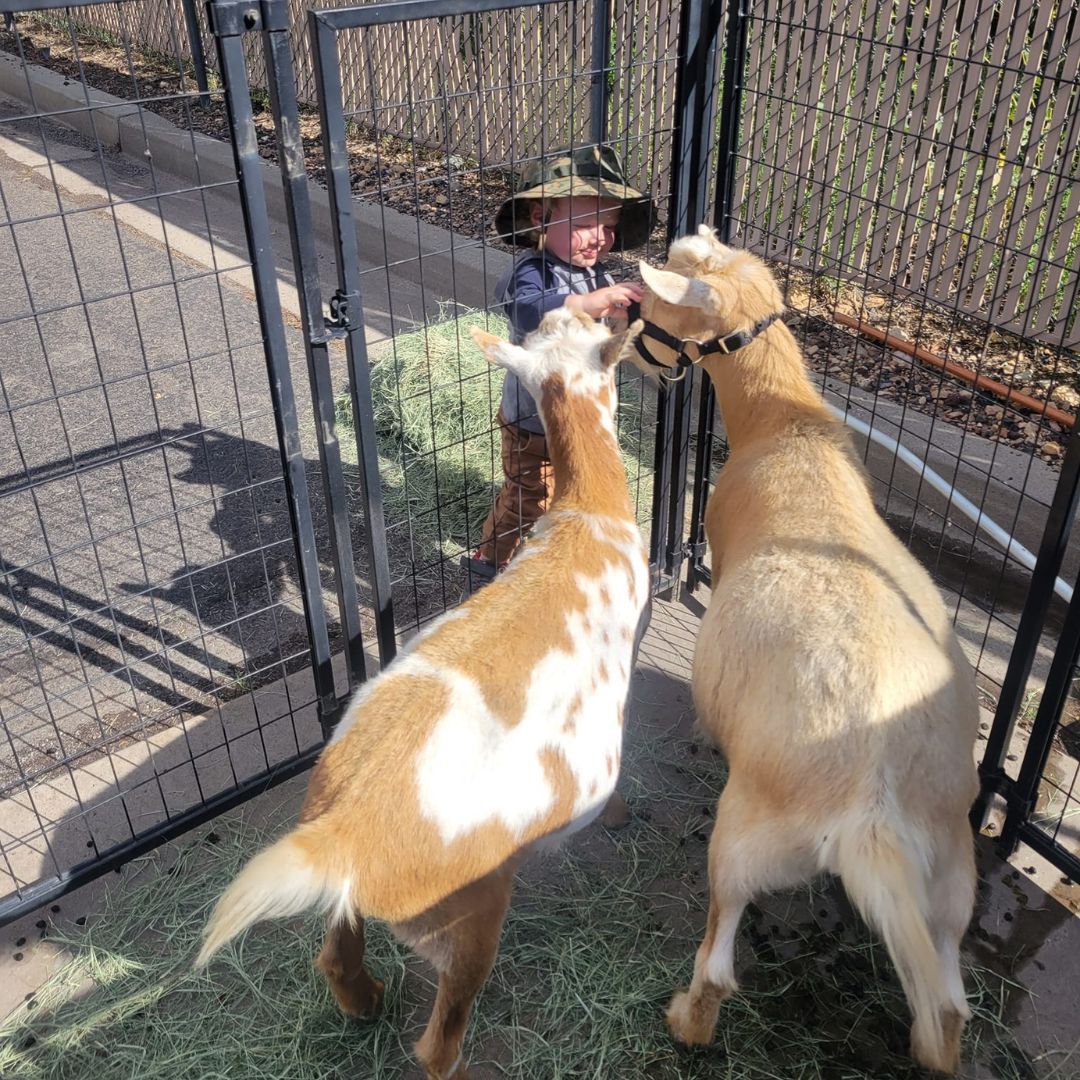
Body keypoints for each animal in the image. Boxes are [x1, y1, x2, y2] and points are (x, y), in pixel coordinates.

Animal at [194, 304, 648, 1080]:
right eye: (594, 327)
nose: (617, 302)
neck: (587, 517)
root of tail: (343, 833)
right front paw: (617, 815)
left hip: (354, 897)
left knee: (335, 956)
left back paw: (366, 1003)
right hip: (467, 909)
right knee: (439, 1038)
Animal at [630, 227, 980, 1071]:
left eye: (660, 290)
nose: (627, 340)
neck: (784, 433)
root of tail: (875, 812)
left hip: (746, 839)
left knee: (718, 967)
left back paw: (682, 1021)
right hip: (950, 880)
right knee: (948, 1010)